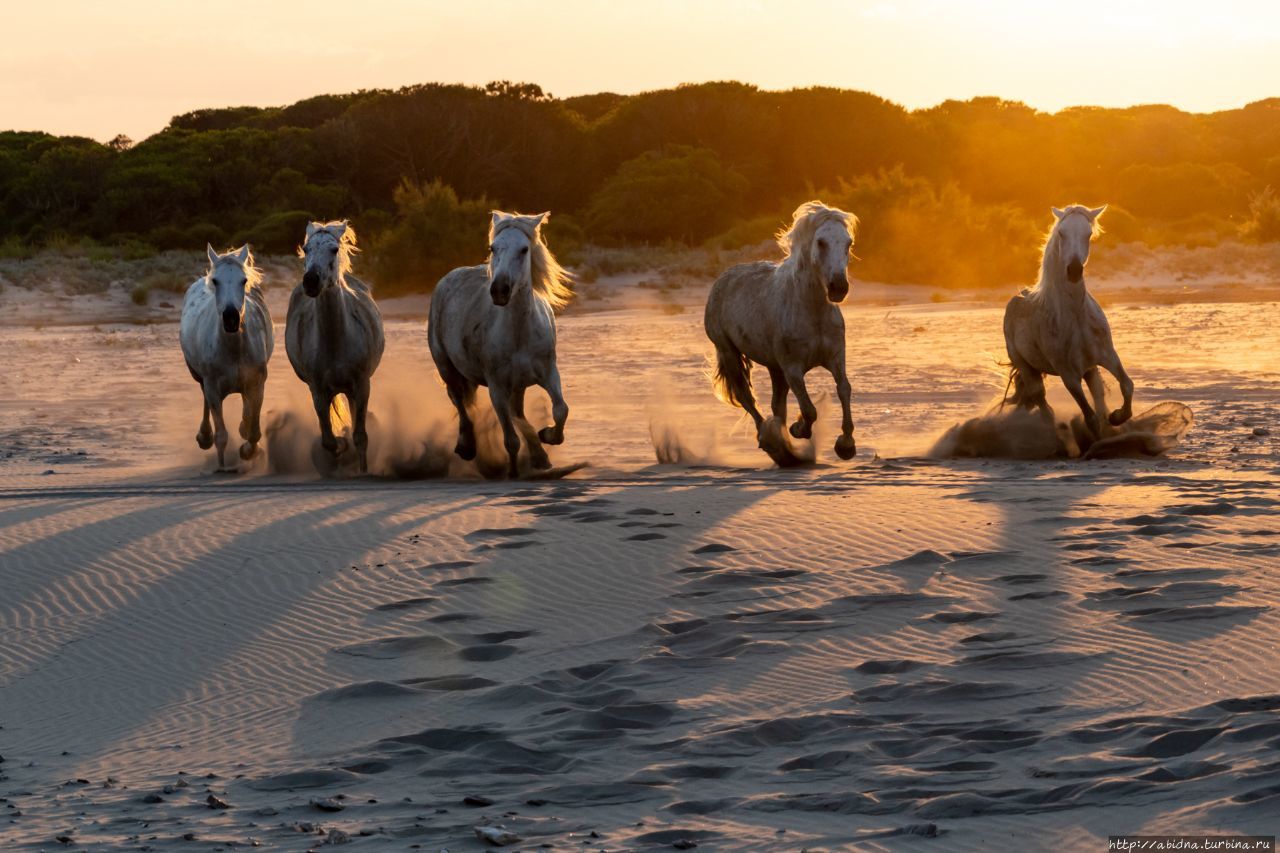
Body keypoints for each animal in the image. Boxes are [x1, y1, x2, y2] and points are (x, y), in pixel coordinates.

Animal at [179, 244, 273, 471]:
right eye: (216, 281)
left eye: (244, 280)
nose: (231, 319)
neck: (233, 349)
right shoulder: (213, 388)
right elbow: (221, 435)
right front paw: (221, 467)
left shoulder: (257, 384)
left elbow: (254, 431)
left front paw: (248, 451)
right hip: (199, 377)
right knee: (204, 399)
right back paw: (204, 436)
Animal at [288, 219, 386, 471]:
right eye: (306, 249)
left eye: (333, 249)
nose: (310, 282)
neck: (336, 341)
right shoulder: (318, 389)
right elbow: (328, 439)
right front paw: (342, 446)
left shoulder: (362, 384)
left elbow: (360, 436)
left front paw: (362, 469)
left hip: (352, 389)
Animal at [430, 211, 570, 479]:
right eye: (493, 248)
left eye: (524, 249)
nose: (499, 291)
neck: (519, 332)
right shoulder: (496, 387)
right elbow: (511, 439)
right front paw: (513, 473)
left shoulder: (549, 373)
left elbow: (560, 410)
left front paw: (547, 435)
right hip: (447, 368)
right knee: (461, 404)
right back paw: (466, 447)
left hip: (517, 385)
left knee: (516, 413)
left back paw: (539, 456)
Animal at [701, 201, 860, 458]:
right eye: (821, 242)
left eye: (848, 243)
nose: (838, 287)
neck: (812, 311)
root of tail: (721, 279)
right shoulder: (792, 368)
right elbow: (809, 410)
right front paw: (799, 429)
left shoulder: (836, 357)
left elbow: (844, 389)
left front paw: (846, 445)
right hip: (729, 352)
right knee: (747, 399)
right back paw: (772, 443)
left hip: (774, 367)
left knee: (777, 405)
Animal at [1003, 202, 1136, 435]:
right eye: (1061, 233)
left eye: (1088, 234)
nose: (1074, 271)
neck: (1075, 316)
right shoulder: (1069, 375)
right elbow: (1090, 418)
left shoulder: (1108, 356)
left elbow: (1127, 386)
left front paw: (1117, 416)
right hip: (1027, 368)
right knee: (1042, 404)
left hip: (1090, 370)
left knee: (1098, 394)